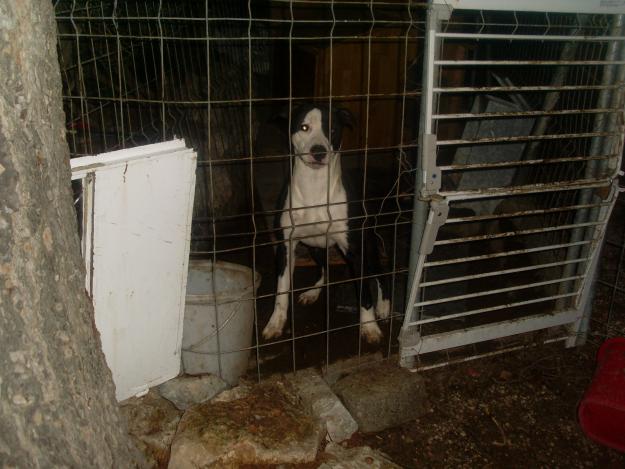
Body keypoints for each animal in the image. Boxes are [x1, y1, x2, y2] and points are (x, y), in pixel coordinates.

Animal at [262, 103, 390, 344]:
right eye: (304, 127)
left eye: (332, 129)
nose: (318, 151)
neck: (315, 187)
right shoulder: (285, 246)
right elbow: (281, 290)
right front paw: (275, 322)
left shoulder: (355, 249)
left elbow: (364, 292)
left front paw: (369, 326)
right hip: (315, 247)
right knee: (324, 269)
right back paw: (313, 292)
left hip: (368, 245)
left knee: (380, 273)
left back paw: (384, 306)